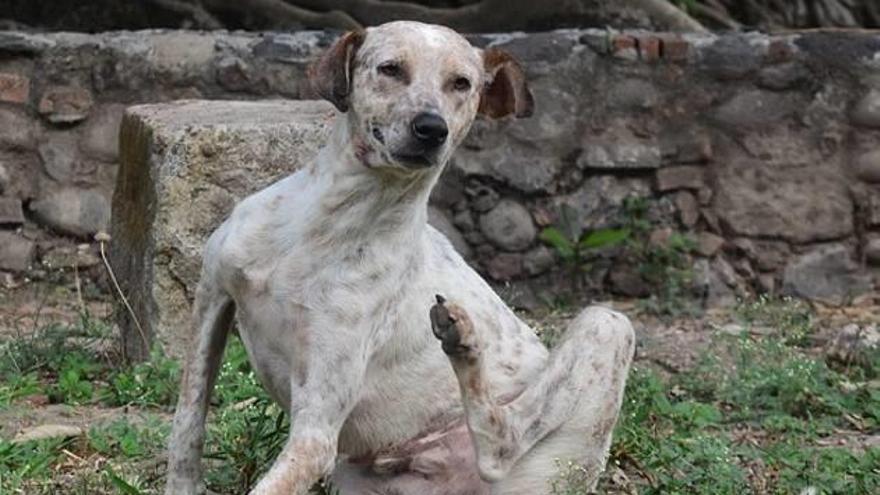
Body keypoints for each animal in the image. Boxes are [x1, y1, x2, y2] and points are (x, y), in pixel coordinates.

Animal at [165, 20, 632, 495]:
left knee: (501, 443)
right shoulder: (213, 295)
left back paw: (464, 342)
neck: (329, 223)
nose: (431, 128)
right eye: (391, 69)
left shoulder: (316, 433)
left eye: (461, 83)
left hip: (608, 323)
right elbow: (187, 423)